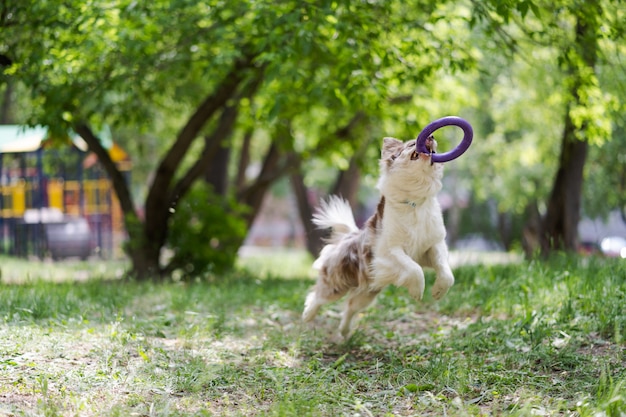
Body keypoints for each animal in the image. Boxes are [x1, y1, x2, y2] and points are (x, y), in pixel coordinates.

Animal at [300, 136, 450, 338]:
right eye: (412, 144)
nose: (432, 137)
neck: (414, 203)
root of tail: (350, 236)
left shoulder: (433, 244)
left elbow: (446, 272)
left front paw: (438, 291)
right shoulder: (389, 251)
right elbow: (414, 269)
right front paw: (417, 291)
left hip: (369, 291)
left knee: (351, 306)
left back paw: (344, 332)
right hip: (337, 282)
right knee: (318, 295)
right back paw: (308, 314)